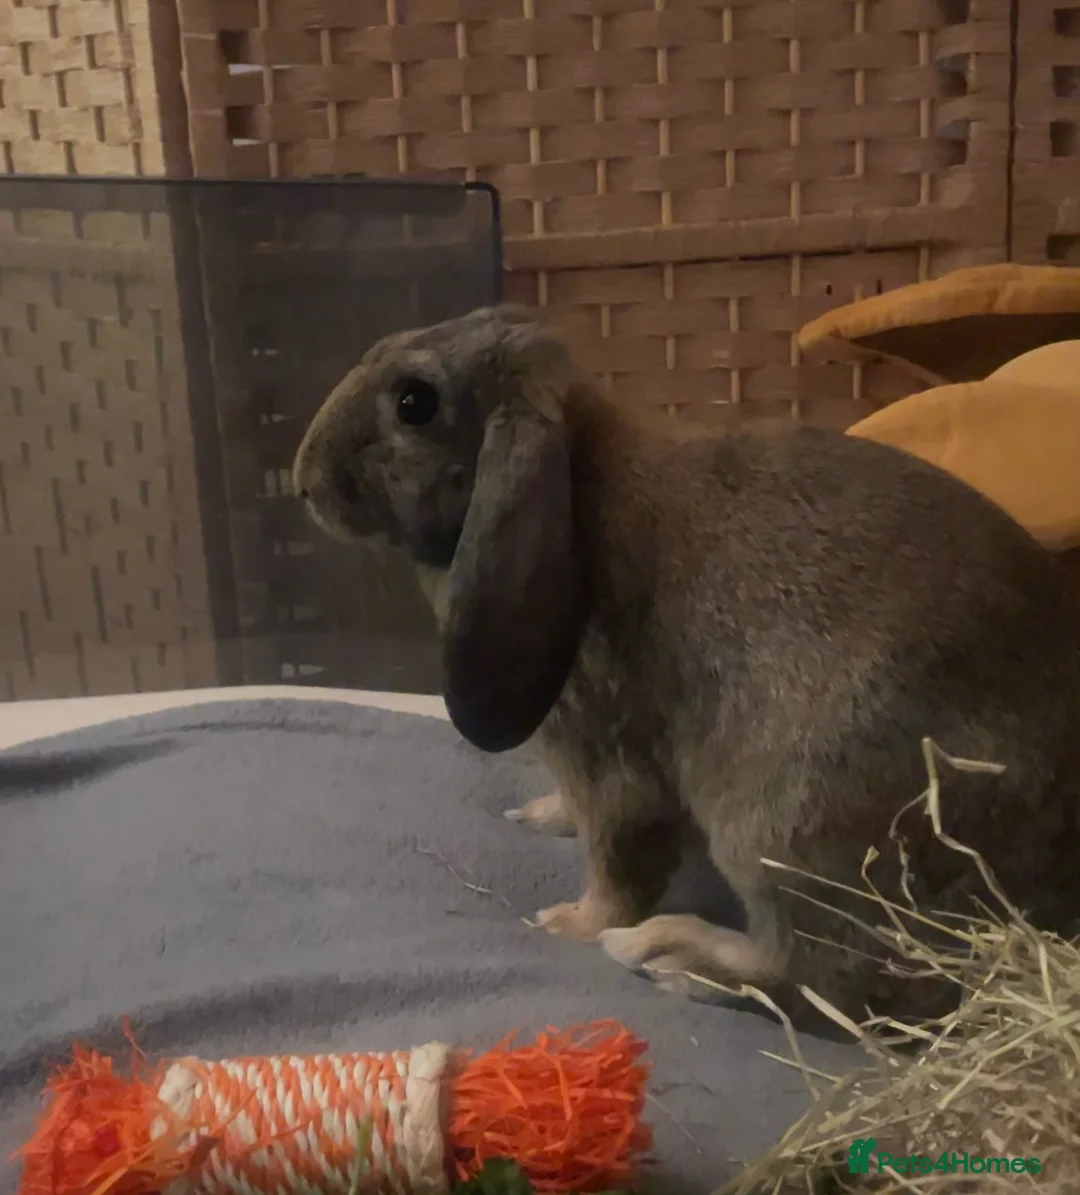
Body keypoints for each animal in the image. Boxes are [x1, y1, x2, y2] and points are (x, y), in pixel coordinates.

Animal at [292, 303, 1080, 1027]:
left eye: (414, 403)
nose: (303, 480)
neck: (581, 497)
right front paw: (542, 816)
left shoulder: (611, 770)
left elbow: (618, 863)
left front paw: (569, 923)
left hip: (779, 833)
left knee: (822, 980)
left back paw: (667, 953)